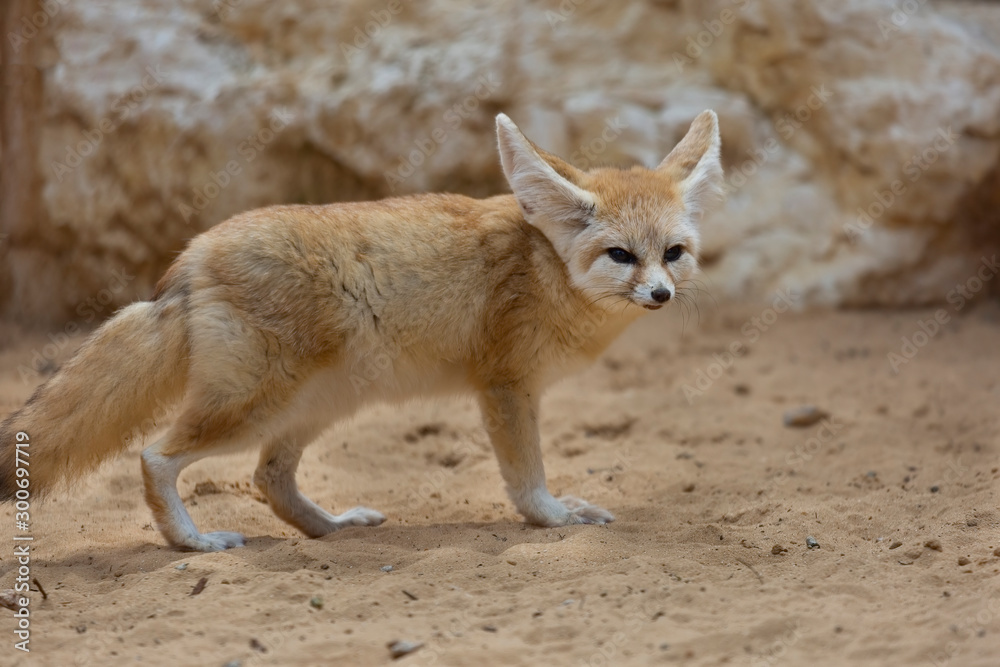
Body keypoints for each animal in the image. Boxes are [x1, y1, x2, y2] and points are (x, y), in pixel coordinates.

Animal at [0, 111, 723, 552]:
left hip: (314, 405)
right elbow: (526, 477)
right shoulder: (505, 386)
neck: (545, 264)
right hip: (252, 405)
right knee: (156, 456)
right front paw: (550, 516)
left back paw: (332, 527)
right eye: (621, 255)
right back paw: (195, 542)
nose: (660, 294)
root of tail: (192, 254)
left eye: (673, 254)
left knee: (269, 479)